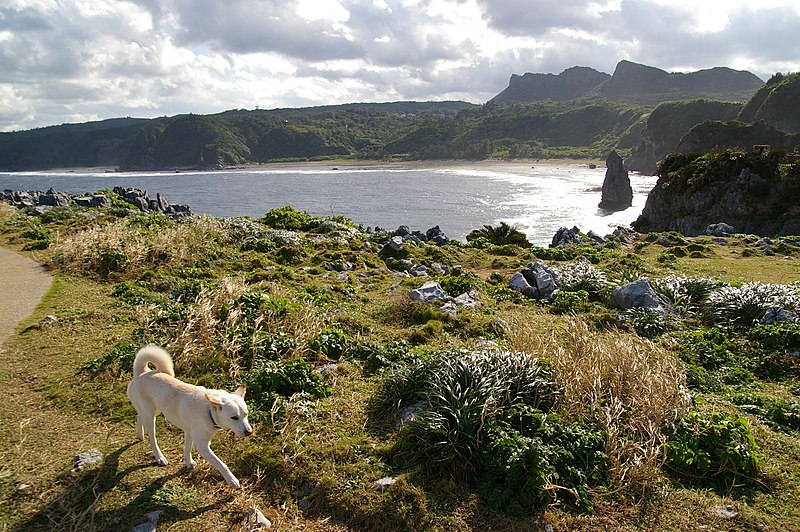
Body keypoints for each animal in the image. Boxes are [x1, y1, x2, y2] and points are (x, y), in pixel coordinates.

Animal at [127, 344, 253, 486]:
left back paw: (139, 435)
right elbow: (221, 464)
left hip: (156, 410)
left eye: (246, 414)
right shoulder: (202, 446)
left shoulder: (189, 433)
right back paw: (159, 457)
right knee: (152, 439)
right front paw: (232, 480)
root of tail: (142, 373)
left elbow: (187, 449)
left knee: (138, 416)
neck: (208, 410)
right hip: (151, 417)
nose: (249, 432)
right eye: (234, 417)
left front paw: (188, 463)